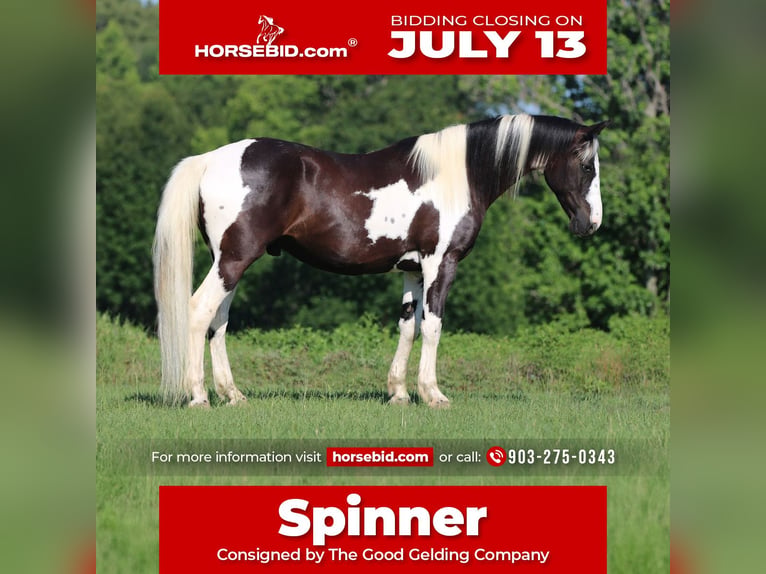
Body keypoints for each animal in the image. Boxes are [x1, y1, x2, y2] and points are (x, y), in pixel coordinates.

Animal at [153, 113, 608, 408]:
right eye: (587, 166)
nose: (592, 224)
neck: (457, 175)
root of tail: (211, 158)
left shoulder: (411, 271)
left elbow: (409, 327)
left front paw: (399, 393)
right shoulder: (440, 264)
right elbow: (434, 327)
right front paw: (433, 394)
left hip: (228, 261)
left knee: (219, 321)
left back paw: (232, 395)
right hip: (233, 260)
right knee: (199, 312)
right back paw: (198, 397)